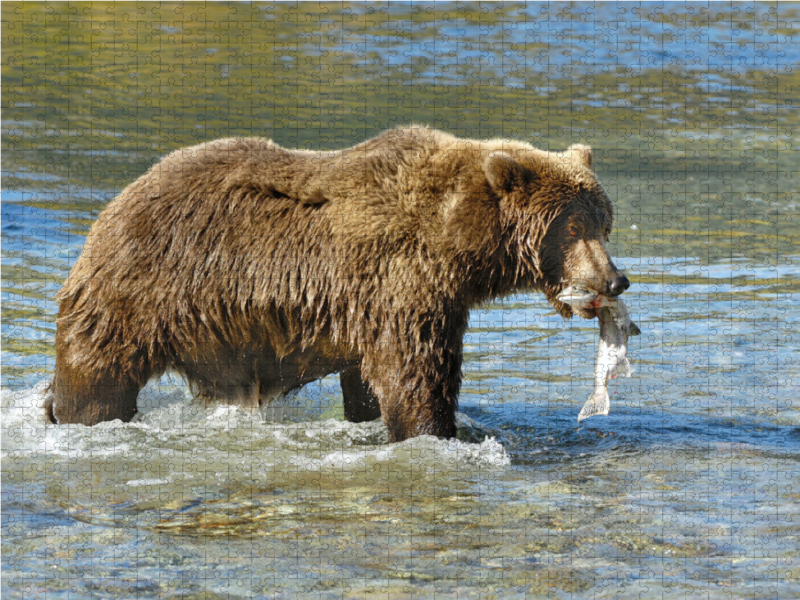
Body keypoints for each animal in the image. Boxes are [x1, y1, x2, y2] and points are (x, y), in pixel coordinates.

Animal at [47, 125, 628, 440]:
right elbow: (415, 377)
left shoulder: (377, 305)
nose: (615, 279)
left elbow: (367, 382)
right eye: (571, 227)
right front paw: (438, 432)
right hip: (138, 293)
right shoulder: (402, 282)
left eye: (603, 222)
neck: (455, 242)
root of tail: (113, 205)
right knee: (96, 378)